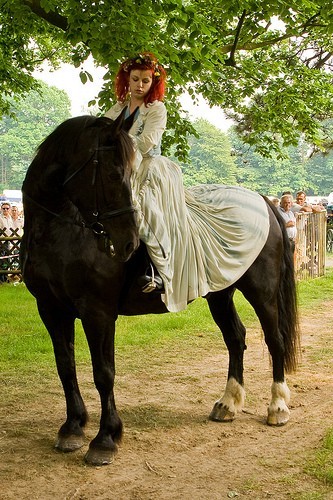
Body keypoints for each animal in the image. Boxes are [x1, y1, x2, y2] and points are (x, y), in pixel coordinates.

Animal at [20, 112, 298, 464]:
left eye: (129, 174)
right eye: (113, 173)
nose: (128, 243)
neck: (61, 232)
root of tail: (261, 199)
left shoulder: (98, 312)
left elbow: (103, 372)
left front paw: (105, 438)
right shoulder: (51, 310)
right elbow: (65, 368)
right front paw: (72, 428)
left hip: (262, 291)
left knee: (275, 340)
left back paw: (278, 407)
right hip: (221, 293)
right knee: (236, 338)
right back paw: (228, 403)